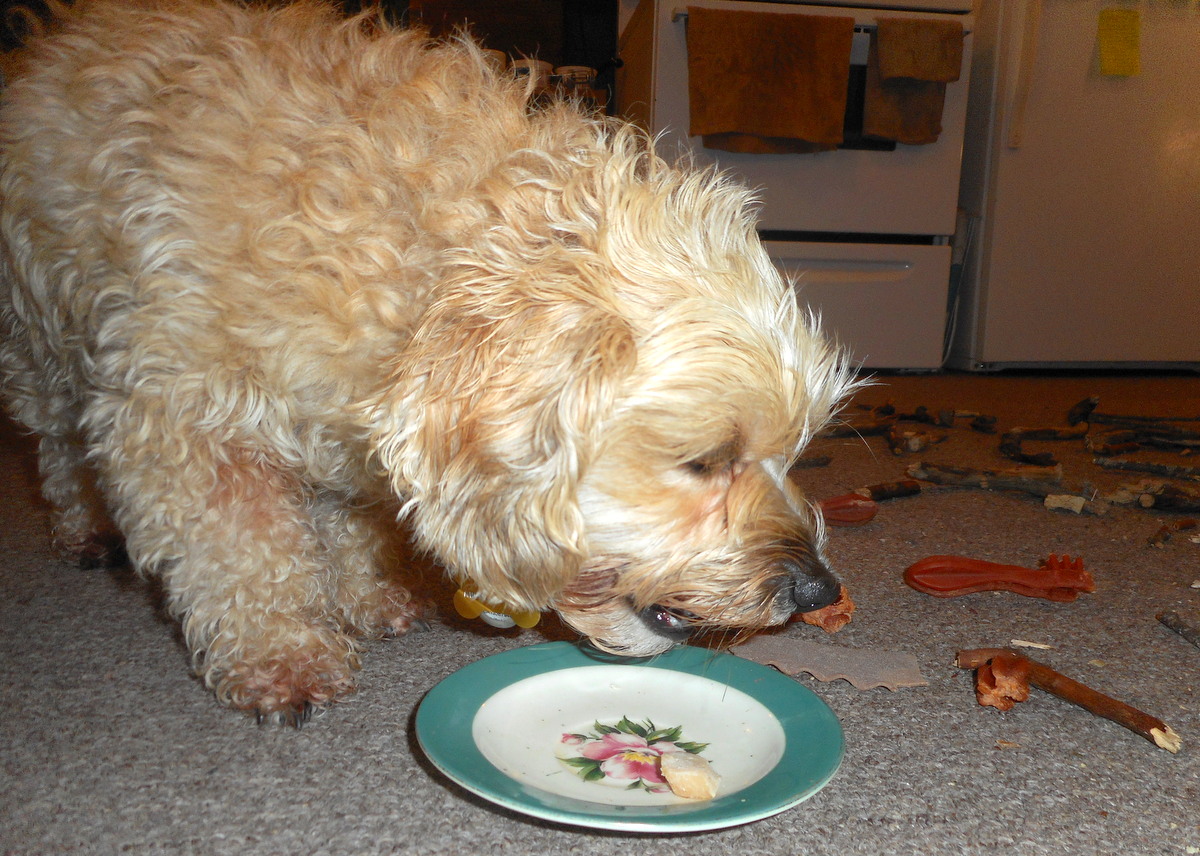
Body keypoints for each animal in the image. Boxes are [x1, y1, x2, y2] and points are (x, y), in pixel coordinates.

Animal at [4, 0, 859, 720]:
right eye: (706, 461)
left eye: (793, 454)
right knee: (56, 446)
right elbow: (246, 555)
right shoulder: (182, 420)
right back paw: (84, 529)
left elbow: (348, 522)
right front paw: (283, 654)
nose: (817, 590)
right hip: (40, 339)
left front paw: (361, 595)